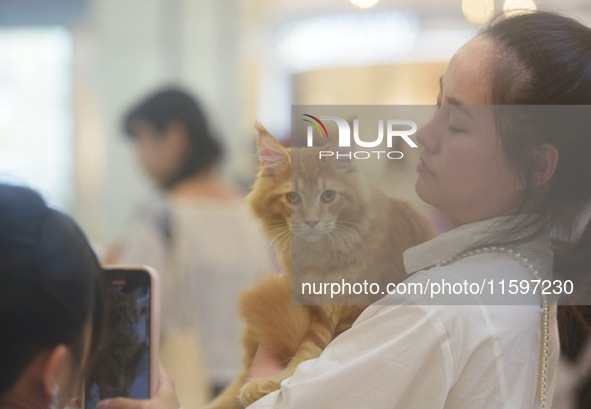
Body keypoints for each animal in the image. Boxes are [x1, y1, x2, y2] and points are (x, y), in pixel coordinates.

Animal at [205, 124, 434, 408]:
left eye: (328, 196)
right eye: (292, 197)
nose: (312, 221)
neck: (322, 257)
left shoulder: (347, 313)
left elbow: (305, 364)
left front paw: (264, 386)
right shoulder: (317, 311)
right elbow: (304, 354)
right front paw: (263, 384)